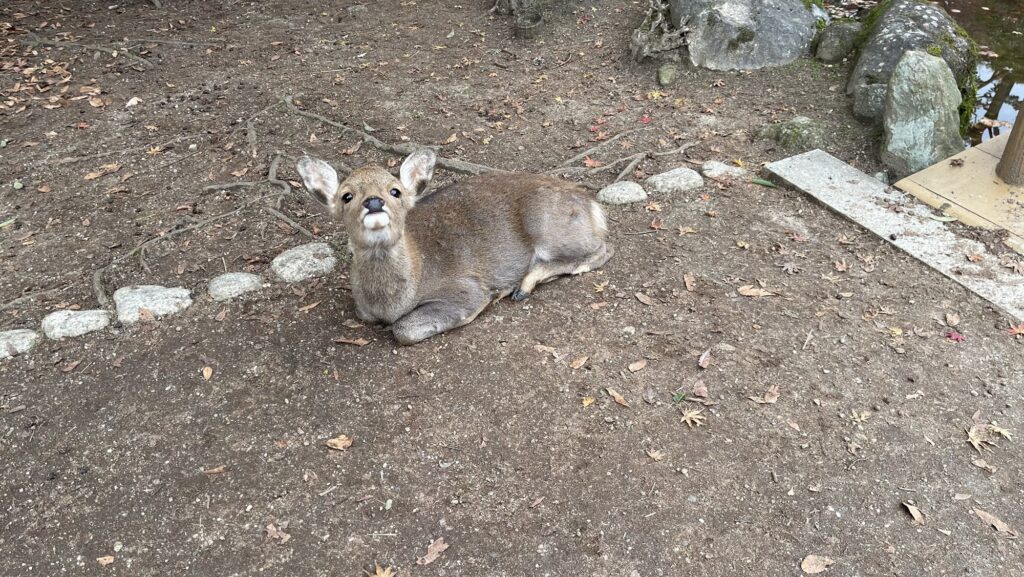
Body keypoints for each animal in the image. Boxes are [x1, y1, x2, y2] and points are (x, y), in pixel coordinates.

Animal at [296, 149, 612, 345]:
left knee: (602, 250)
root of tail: (594, 206)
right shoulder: (362, 311)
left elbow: (404, 329)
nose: (374, 202)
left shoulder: (464, 287)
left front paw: (491, 297)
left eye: (395, 191)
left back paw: (520, 286)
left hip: (549, 227)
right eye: (346, 195)